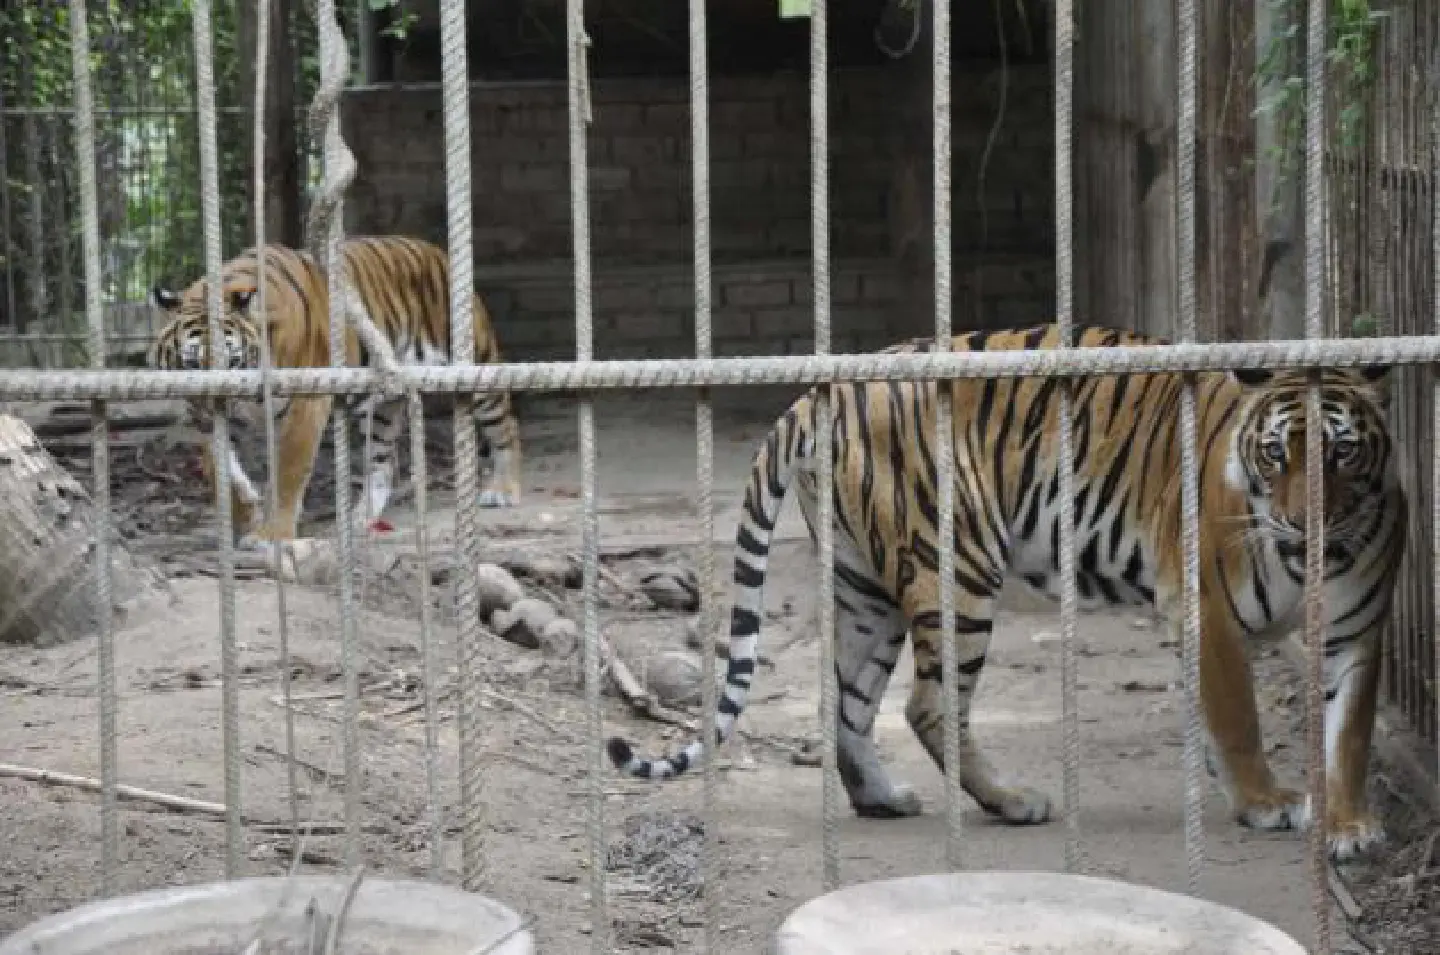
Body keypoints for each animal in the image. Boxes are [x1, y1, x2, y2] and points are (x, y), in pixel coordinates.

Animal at [149, 235, 523, 549]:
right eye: (191, 364)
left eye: (234, 362)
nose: (211, 407)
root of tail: (435, 250)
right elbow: (218, 469)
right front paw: (246, 514)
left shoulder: (307, 403)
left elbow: (288, 472)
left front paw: (271, 535)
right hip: (381, 408)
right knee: (384, 463)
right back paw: (359, 519)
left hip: (478, 367)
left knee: (507, 426)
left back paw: (502, 491)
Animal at [608, 324, 1405, 862]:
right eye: (1275, 455)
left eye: (1341, 453)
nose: (1304, 521)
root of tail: (827, 389)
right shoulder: (1207, 607)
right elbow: (1239, 717)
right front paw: (1267, 802)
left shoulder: (1359, 629)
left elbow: (1349, 734)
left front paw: (1350, 825)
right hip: (954, 567)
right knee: (930, 707)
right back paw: (1014, 801)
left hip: (866, 591)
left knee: (847, 703)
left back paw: (883, 798)